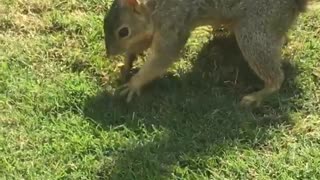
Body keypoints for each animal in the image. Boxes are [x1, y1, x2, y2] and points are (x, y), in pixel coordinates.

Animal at [102, 0, 308, 107]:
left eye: (123, 31)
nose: (110, 53)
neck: (154, 7)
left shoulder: (173, 24)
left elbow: (162, 57)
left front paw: (134, 84)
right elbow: (140, 46)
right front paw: (126, 64)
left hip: (255, 31)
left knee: (275, 76)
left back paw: (258, 95)